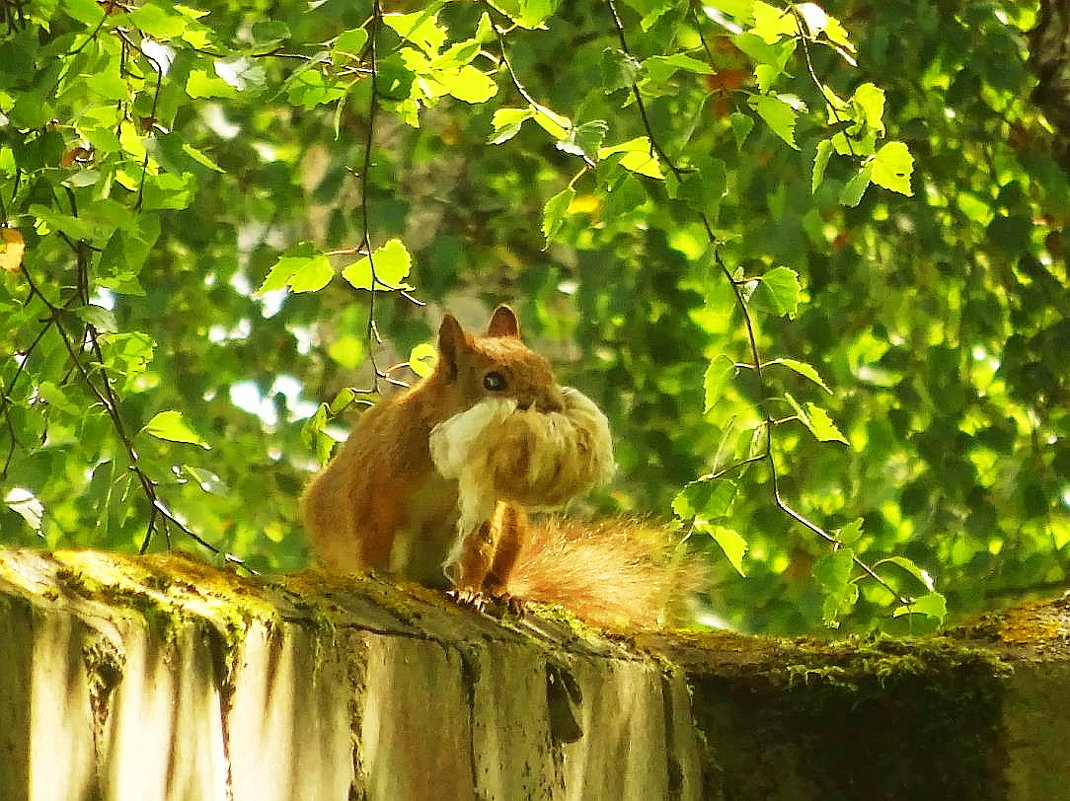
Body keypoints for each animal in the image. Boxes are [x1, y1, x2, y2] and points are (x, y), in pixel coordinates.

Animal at [299, 303, 693, 624]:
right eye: (493, 380)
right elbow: (371, 528)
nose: (555, 405)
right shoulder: (376, 479)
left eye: (546, 368)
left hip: (515, 523)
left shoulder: (487, 496)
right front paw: (375, 575)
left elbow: (480, 543)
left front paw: (470, 591)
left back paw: (503, 593)